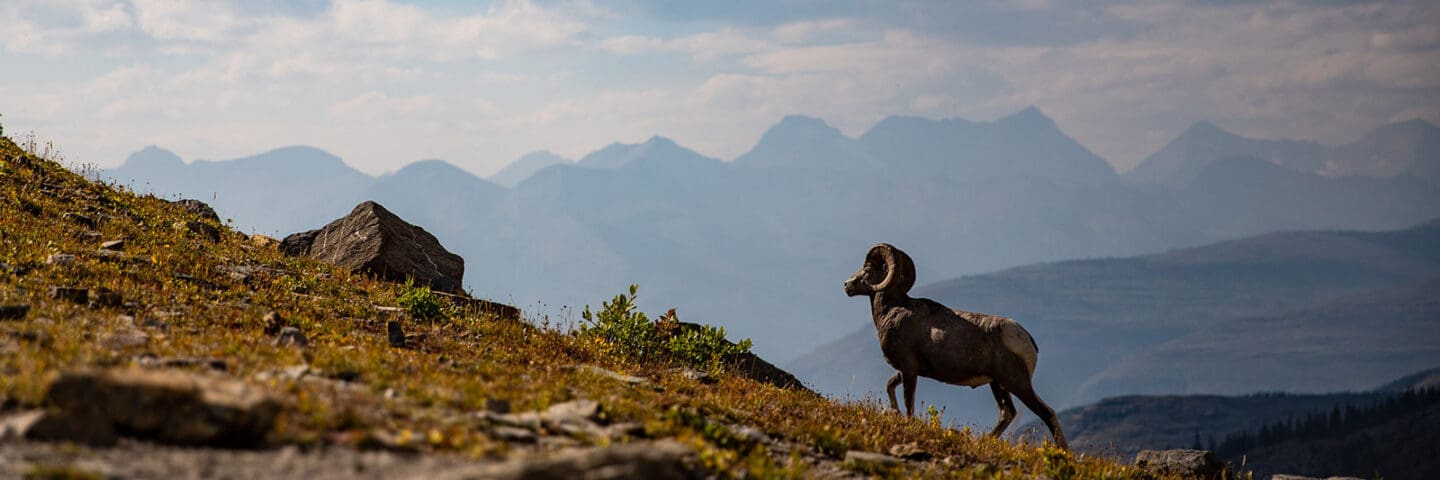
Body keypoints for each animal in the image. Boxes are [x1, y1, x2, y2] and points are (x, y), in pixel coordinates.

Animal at [843, 243, 1068, 450]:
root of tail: (1025, 338)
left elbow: (908, 403)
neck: (892, 310)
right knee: (1007, 413)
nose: (846, 285)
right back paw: (983, 441)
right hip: (998, 384)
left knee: (1046, 413)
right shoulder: (906, 371)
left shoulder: (909, 370)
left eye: (868, 270)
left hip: (1016, 382)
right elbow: (890, 386)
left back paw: (1064, 453)